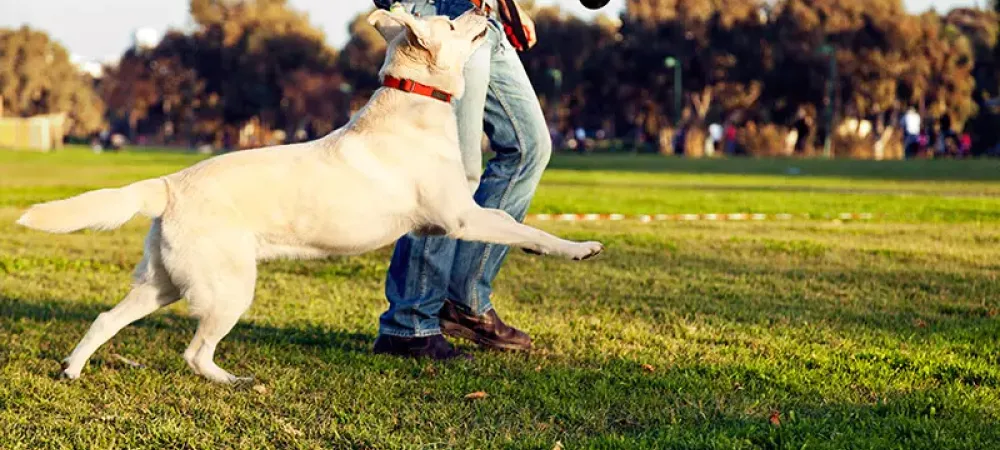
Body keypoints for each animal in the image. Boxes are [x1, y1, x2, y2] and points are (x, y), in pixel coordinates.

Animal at [15, 7, 600, 384]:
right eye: (454, 24)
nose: (485, 9)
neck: (414, 101)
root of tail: (169, 184)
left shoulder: (454, 219)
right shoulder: (461, 217)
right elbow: (522, 226)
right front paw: (578, 248)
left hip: (163, 284)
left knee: (105, 319)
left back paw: (72, 369)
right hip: (228, 289)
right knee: (194, 352)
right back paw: (232, 381)